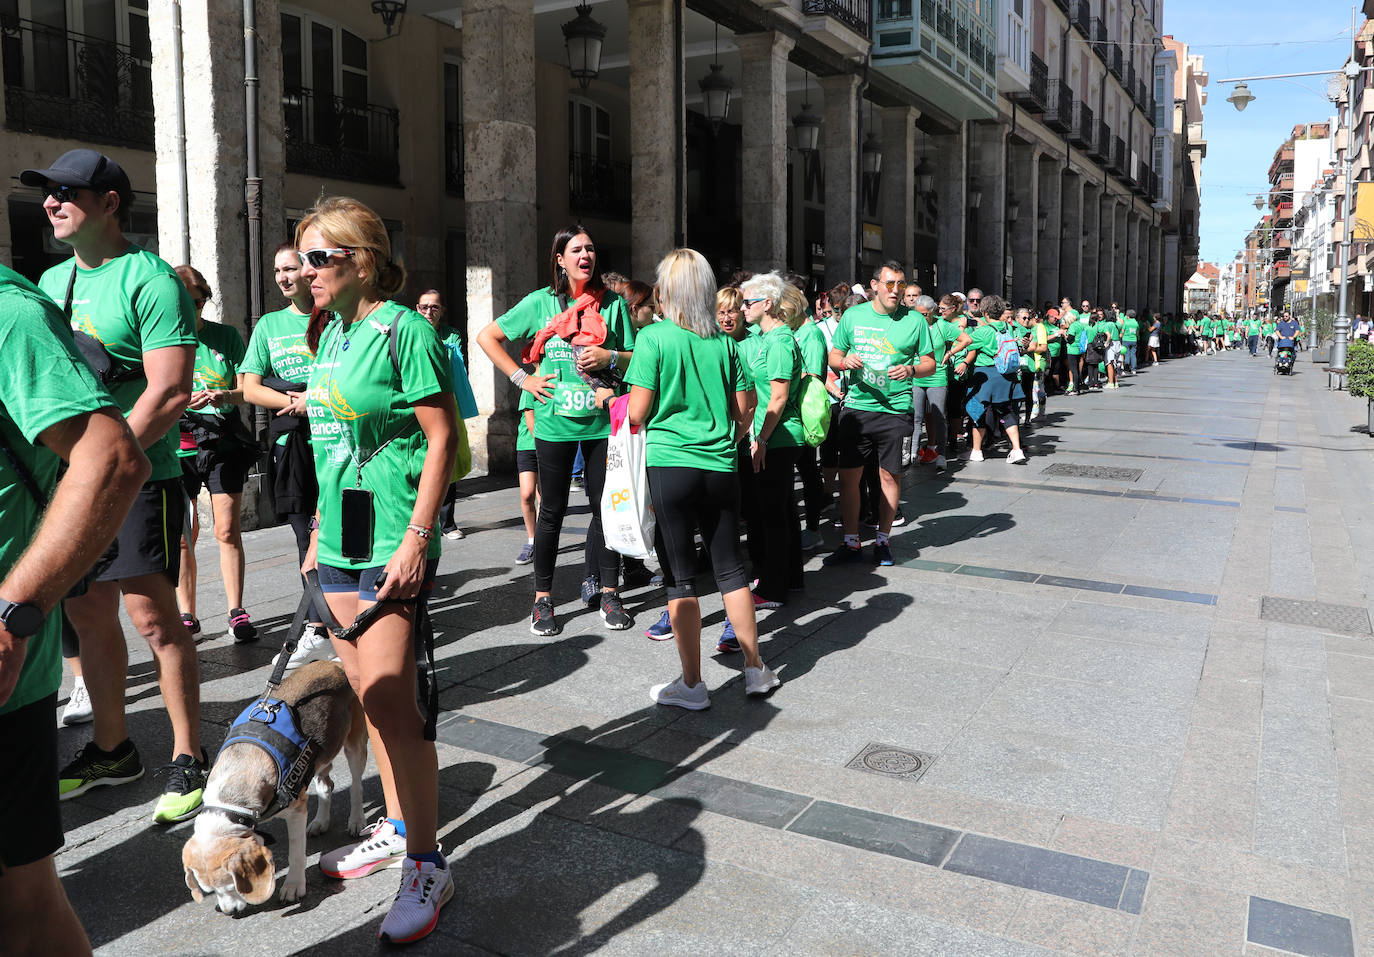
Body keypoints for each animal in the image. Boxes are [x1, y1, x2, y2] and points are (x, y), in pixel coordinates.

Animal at [182, 661, 368, 906]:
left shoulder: (296, 811)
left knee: (356, 786)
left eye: (233, 885)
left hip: (355, 745)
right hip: (318, 758)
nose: (229, 911)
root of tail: (335, 664)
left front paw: (293, 885)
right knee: (327, 786)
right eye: (210, 891)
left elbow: (296, 853)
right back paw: (320, 822)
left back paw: (356, 820)